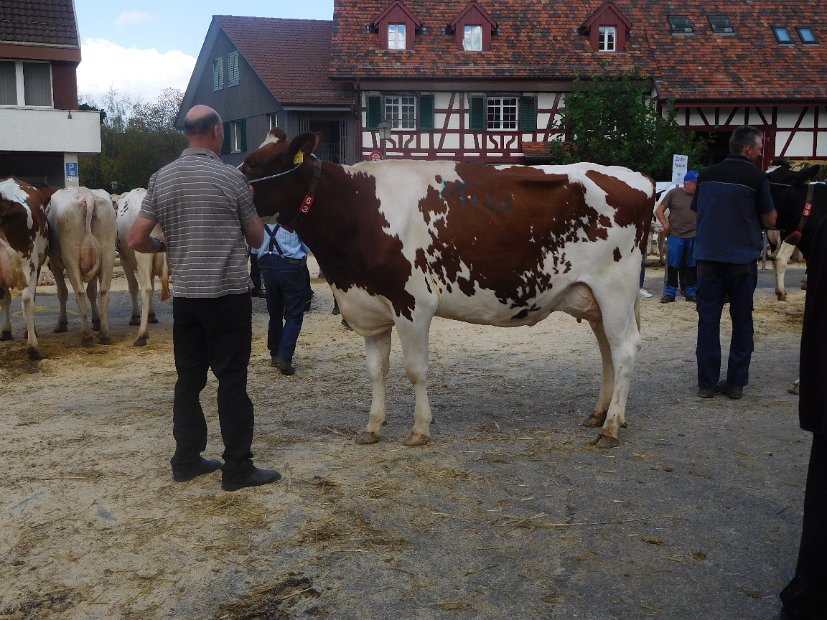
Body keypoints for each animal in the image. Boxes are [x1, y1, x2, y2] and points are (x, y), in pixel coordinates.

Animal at [47, 186, 118, 346]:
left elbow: (62, 292)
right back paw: (104, 334)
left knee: (79, 293)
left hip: (70, 258)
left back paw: (86, 336)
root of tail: (87, 195)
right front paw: (96, 321)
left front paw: (61, 324)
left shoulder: (55, 265)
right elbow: (92, 292)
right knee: (103, 291)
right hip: (108, 254)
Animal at [115, 186, 170, 346]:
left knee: (146, 289)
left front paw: (134, 317)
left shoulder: (124, 259)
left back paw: (141, 335)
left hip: (142, 254)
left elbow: (133, 286)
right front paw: (152, 315)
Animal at [243, 132, 656, 450]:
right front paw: (372, 427)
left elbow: (415, 370)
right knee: (606, 349)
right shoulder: (370, 307)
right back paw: (600, 414)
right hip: (594, 297)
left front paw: (419, 430)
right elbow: (376, 370)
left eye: (260, 164)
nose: (233, 182)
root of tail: (636, 177)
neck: (359, 209)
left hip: (615, 288)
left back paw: (611, 428)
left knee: (624, 349)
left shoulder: (413, 303)